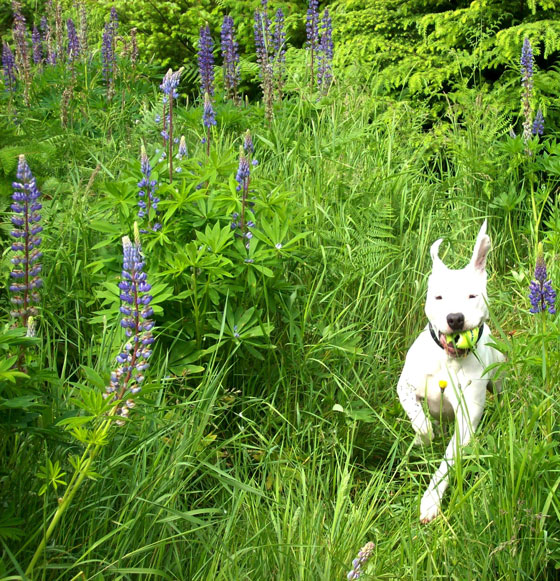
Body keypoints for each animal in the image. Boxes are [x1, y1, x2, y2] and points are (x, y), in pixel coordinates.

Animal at [398, 221, 504, 520]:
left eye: (472, 295)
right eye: (439, 297)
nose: (455, 318)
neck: (449, 361)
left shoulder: (466, 421)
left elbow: (447, 463)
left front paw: (431, 500)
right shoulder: (405, 386)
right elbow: (419, 418)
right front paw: (423, 436)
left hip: (499, 375)